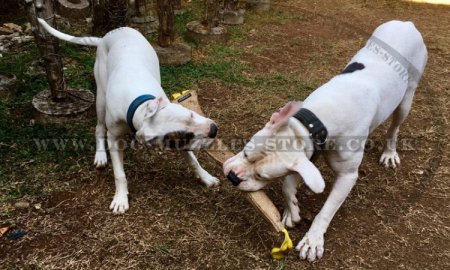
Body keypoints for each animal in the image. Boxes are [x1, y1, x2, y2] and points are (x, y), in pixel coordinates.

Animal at [38, 19, 220, 213]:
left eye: (191, 114)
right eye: (185, 137)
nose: (214, 130)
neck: (140, 106)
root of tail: (106, 36)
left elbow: (193, 160)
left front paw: (206, 177)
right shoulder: (113, 138)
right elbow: (119, 173)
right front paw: (120, 198)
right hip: (100, 98)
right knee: (99, 127)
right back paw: (100, 155)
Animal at [223, 21, 428, 262]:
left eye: (262, 176)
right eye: (246, 152)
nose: (232, 177)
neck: (318, 121)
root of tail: (407, 23)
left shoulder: (347, 176)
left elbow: (327, 209)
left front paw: (313, 240)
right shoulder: (308, 153)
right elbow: (288, 184)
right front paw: (292, 210)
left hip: (406, 98)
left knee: (395, 127)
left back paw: (389, 152)